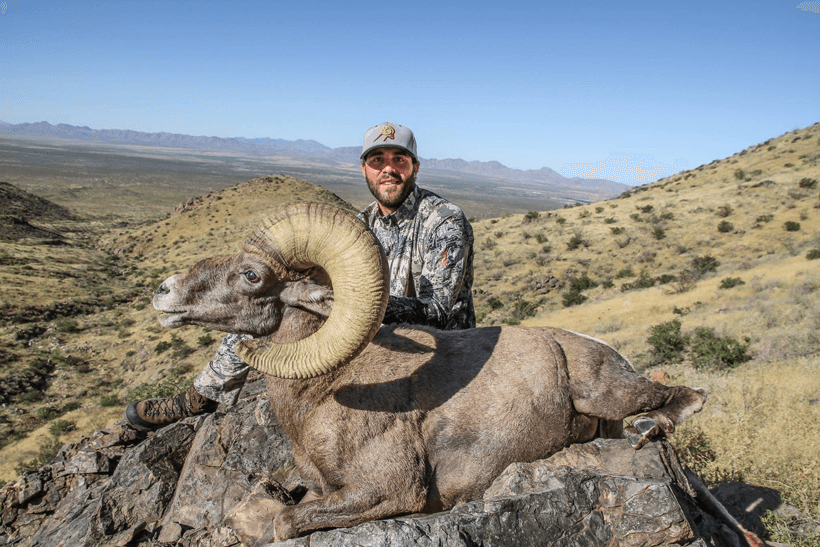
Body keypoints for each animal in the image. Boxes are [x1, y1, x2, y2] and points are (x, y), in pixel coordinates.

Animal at [152, 202, 707, 542]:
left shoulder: (387, 492)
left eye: (252, 275)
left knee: (684, 396)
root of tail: (598, 348)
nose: (164, 290)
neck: (319, 394)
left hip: (605, 391)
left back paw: (645, 429)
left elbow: (285, 522)